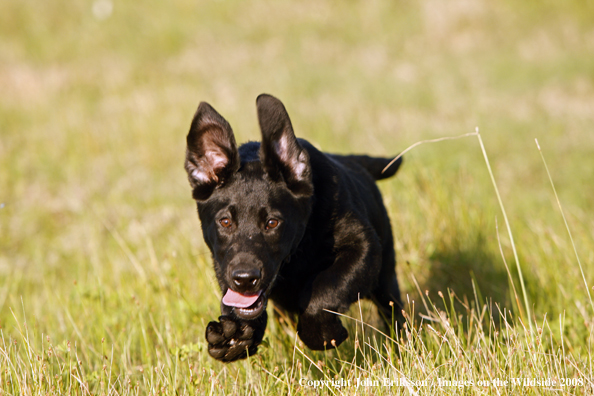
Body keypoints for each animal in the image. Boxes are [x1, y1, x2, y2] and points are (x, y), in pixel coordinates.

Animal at [185, 93, 402, 362]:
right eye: (225, 222)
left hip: (386, 276)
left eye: (272, 223)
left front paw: (324, 334)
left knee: (393, 312)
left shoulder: (364, 248)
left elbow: (326, 290)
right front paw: (234, 336)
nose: (244, 280)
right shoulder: (222, 265)